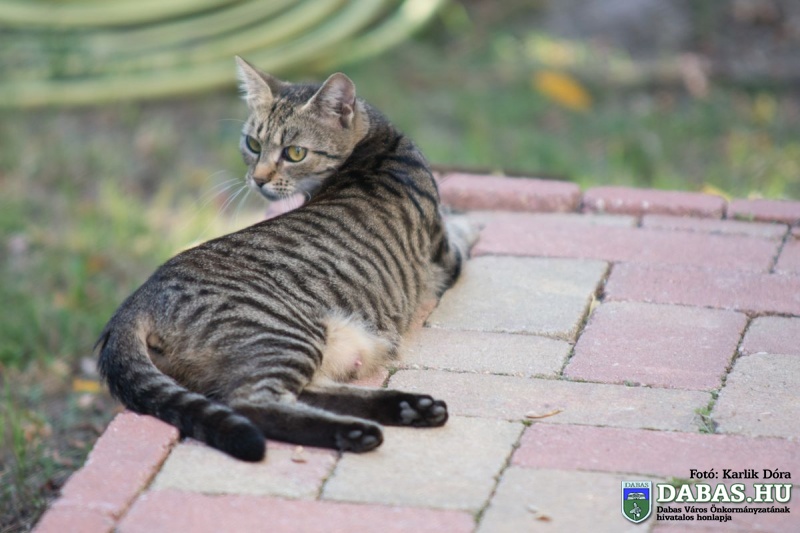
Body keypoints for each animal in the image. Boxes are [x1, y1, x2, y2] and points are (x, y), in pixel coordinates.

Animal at [96, 56, 475, 462]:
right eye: (254, 144)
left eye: (295, 152)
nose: (258, 178)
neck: (377, 145)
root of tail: (136, 300)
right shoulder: (446, 256)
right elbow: (460, 229)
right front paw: (467, 218)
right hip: (284, 335)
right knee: (249, 402)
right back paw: (358, 432)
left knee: (304, 392)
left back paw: (408, 407)